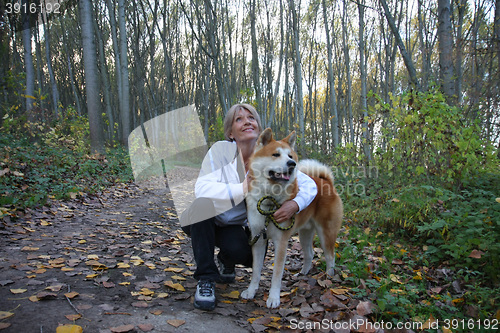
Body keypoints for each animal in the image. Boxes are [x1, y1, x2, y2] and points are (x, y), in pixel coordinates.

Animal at [239, 128, 342, 308]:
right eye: (275, 154)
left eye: (290, 156)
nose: (292, 164)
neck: (270, 198)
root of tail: (326, 182)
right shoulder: (258, 239)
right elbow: (256, 270)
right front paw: (251, 291)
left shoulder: (281, 241)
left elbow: (277, 273)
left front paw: (273, 297)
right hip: (305, 233)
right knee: (309, 254)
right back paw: (302, 274)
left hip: (326, 234)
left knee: (330, 257)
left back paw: (329, 278)